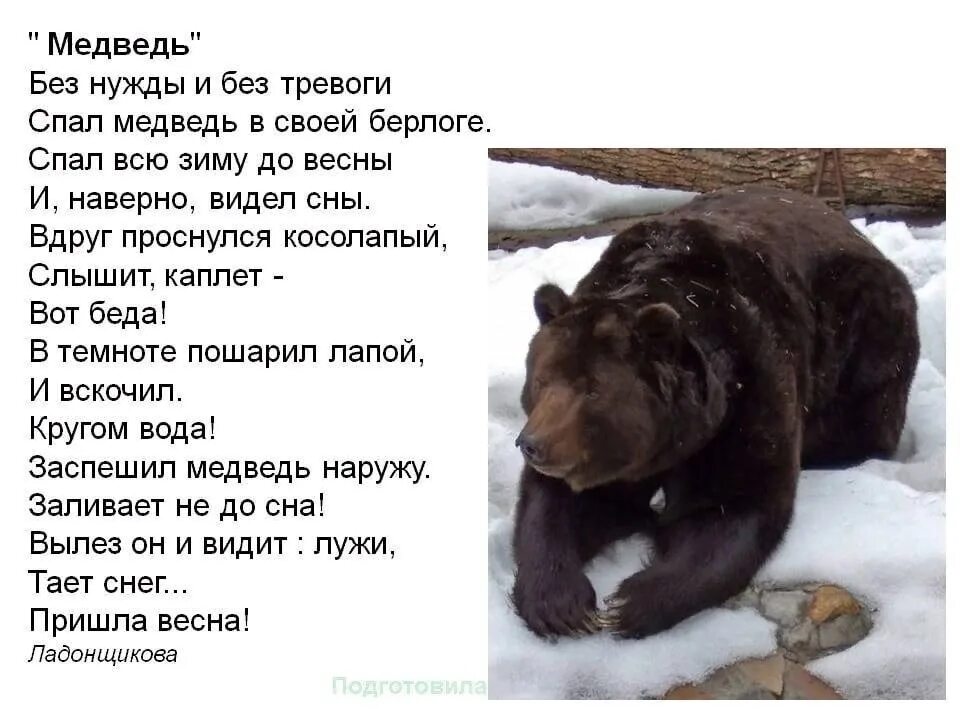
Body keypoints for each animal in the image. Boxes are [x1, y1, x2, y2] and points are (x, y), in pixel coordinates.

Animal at [510, 186, 920, 639]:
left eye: (593, 390)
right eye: (542, 379)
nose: (533, 444)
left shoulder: (746, 393)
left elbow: (731, 508)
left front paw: (629, 603)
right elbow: (555, 504)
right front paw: (561, 605)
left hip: (862, 325)